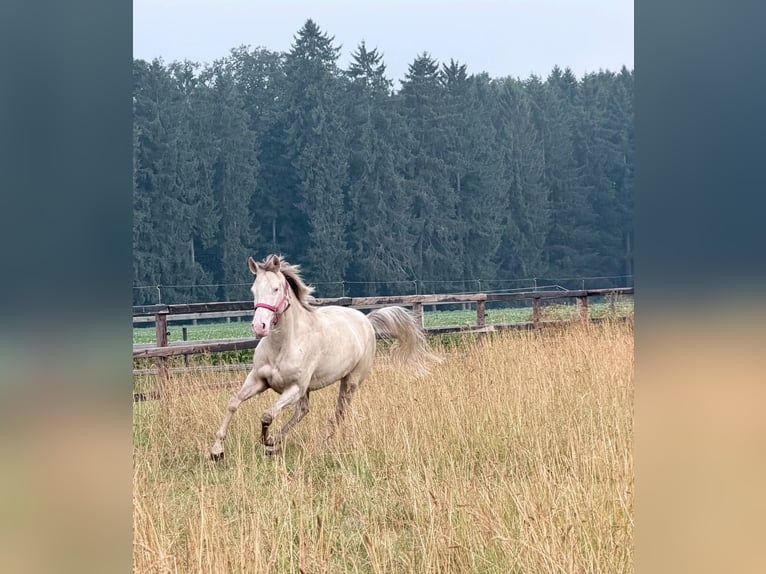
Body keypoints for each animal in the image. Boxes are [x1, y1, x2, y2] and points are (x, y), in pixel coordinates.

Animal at [210, 254, 440, 459]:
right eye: (254, 289)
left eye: (275, 288)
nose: (259, 326)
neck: (283, 345)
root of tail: (366, 320)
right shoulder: (259, 379)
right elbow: (233, 403)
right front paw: (217, 451)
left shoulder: (295, 388)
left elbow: (267, 415)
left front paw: (266, 441)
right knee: (303, 411)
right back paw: (277, 442)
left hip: (351, 381)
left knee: (338, 412)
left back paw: (317, 441)